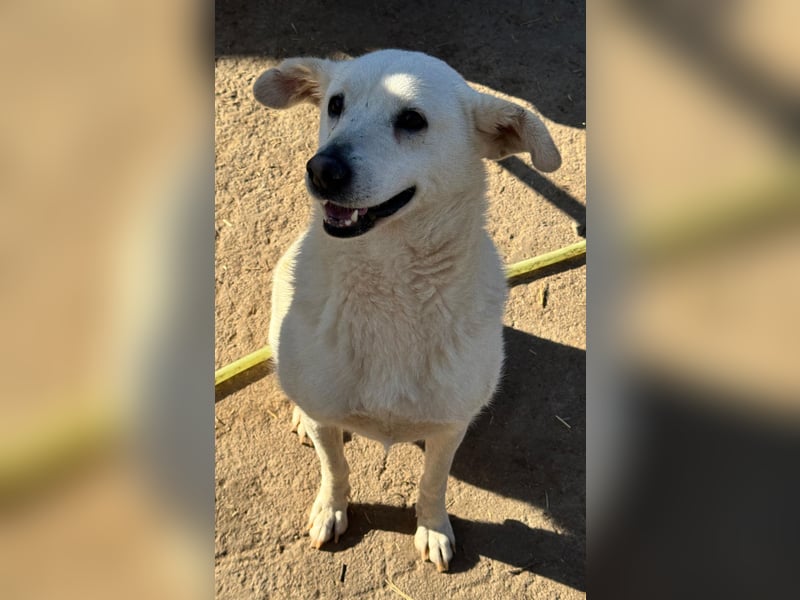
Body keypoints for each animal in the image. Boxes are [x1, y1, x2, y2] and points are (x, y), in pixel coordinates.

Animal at [253, 49, 560, 571]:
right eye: (335, 104)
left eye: (413, 120)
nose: (322, 170)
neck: (387, 288)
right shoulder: (328, 418)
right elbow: (334, 468)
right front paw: (331, 509)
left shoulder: (449, 428)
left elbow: (432, 484)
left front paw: (433, 528)